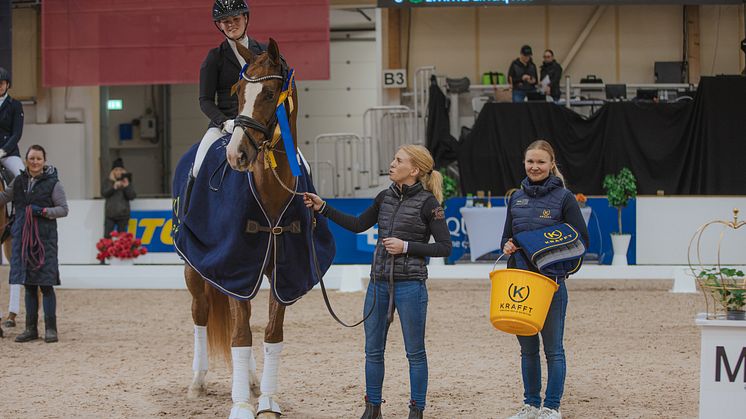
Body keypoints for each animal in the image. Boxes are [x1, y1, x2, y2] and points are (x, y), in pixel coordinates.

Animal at [185, 39, 300, 419]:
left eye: (269, 93)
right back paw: (198, 382)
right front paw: (240, 406)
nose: (236, 155)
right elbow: (240, 337)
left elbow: (271, 334)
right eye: (237, 93)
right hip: (195, 271)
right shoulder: (235, 268)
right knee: (201, 315)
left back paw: (250, 380)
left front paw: (266, 400)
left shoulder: (281, 273)